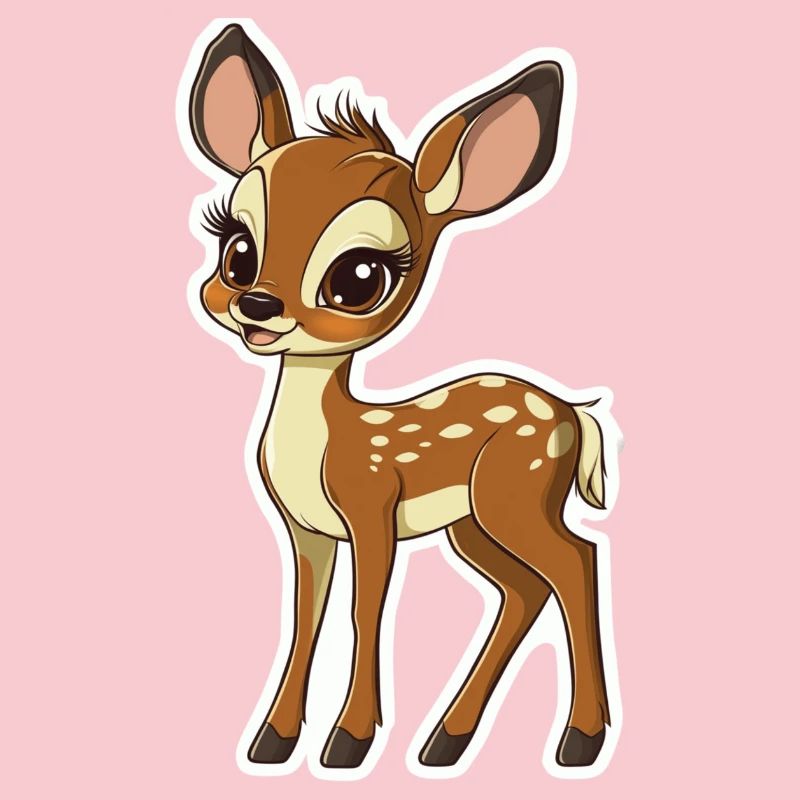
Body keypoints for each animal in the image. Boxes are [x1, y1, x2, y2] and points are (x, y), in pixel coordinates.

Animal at [185, 23, 616, 773]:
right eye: (236, 248)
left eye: (360, 276)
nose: (258, 305)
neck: (324, 441)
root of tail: (572, 415)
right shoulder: (306, 528)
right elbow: (306, 615)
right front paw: (274, 740)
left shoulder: (372, 508)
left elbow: (366, 610)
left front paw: (347, 742)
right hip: (473, 522)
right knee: (524, 588)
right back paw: (446, 741)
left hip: (518, 496)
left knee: (576, 562)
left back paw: (579, 741)